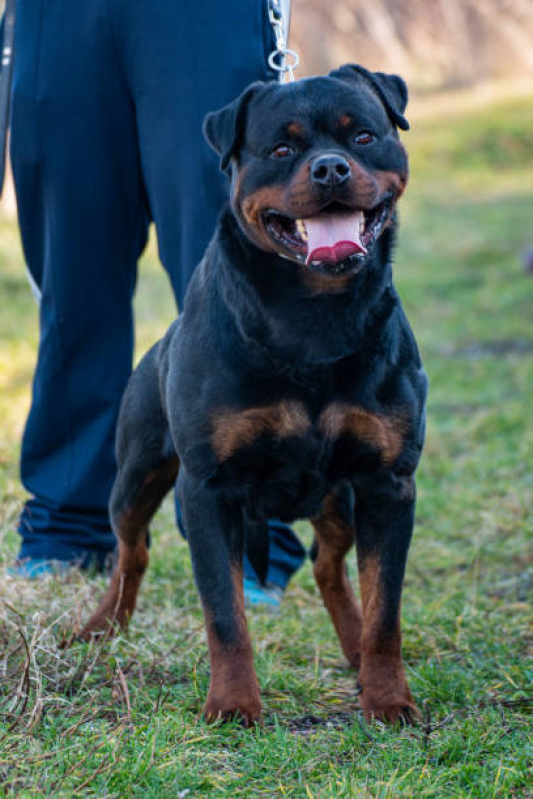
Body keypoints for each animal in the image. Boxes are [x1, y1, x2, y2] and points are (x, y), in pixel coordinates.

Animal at [80, 65, 428, 728]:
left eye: (364, 137)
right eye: (282, 150)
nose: (330, 169)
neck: (313, 314)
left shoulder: (387, 484)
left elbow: (387, 613)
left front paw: (388, 699)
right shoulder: (208, 489)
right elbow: (225, 615)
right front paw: (233, 705)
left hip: (337, 498)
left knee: (327, 565)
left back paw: (351, 650)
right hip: (135, 479)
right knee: (131, 551)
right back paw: (99, 629)